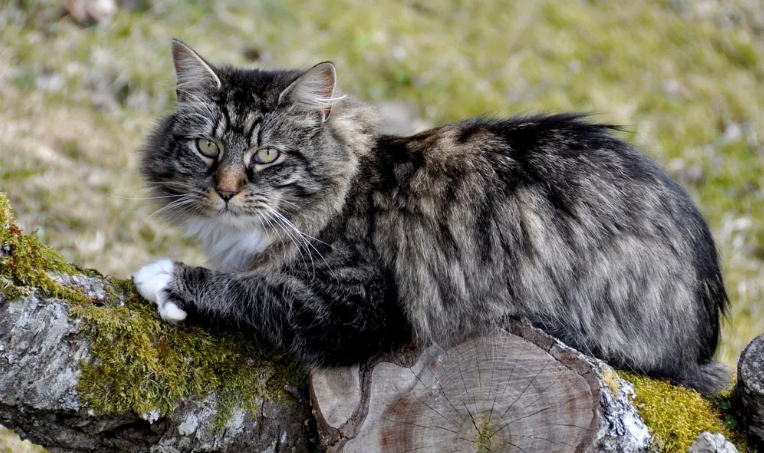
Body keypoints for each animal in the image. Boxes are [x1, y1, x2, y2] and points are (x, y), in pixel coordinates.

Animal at [134, 38, 732, 392]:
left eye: (266, 156)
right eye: (208, 149)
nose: (226, 191)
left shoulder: (359, 302)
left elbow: (255, 291)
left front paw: (167, 279)